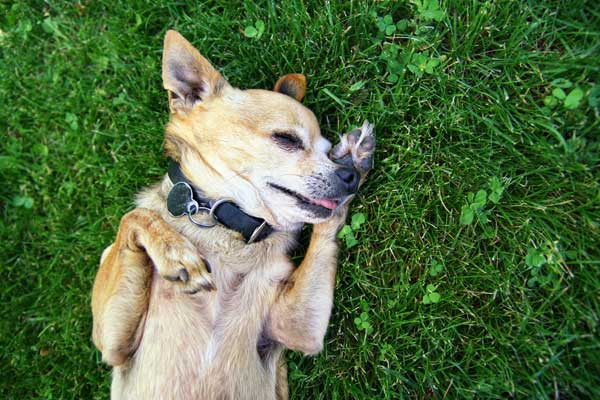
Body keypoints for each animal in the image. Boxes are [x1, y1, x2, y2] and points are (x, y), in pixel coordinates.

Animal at [92, 29, 376, 398]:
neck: (226, 225)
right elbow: (134, 217)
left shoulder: (297, 327)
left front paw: (356, 156)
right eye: (287, 139)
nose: (349, 175)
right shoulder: (112, 343)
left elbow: (325, 232)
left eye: (329, 152)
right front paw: (175, 253)